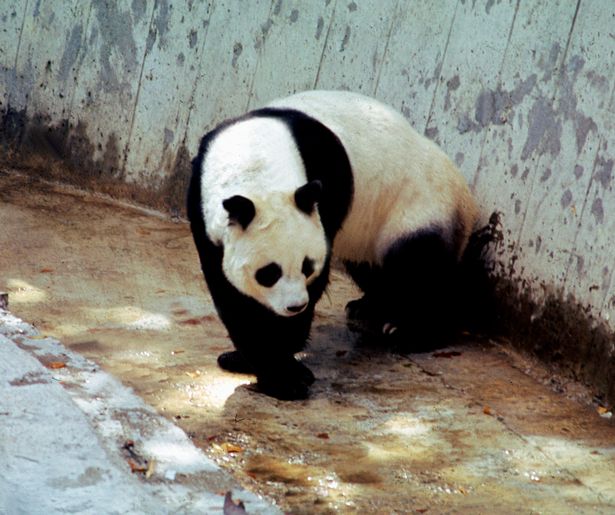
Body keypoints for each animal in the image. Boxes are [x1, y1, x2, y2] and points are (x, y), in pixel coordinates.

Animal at [188, 90, 482, 402]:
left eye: (307, 266)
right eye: (268, 273)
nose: (295, 306)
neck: (253, 160)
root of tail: (467, 202)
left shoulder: (326, 188)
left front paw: (285, 370)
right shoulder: (202, 209)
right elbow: (229, 290)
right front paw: (253, 360)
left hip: (417, 207)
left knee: (420, 270)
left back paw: (413, 331)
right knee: (374, 268)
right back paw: (371, 307)